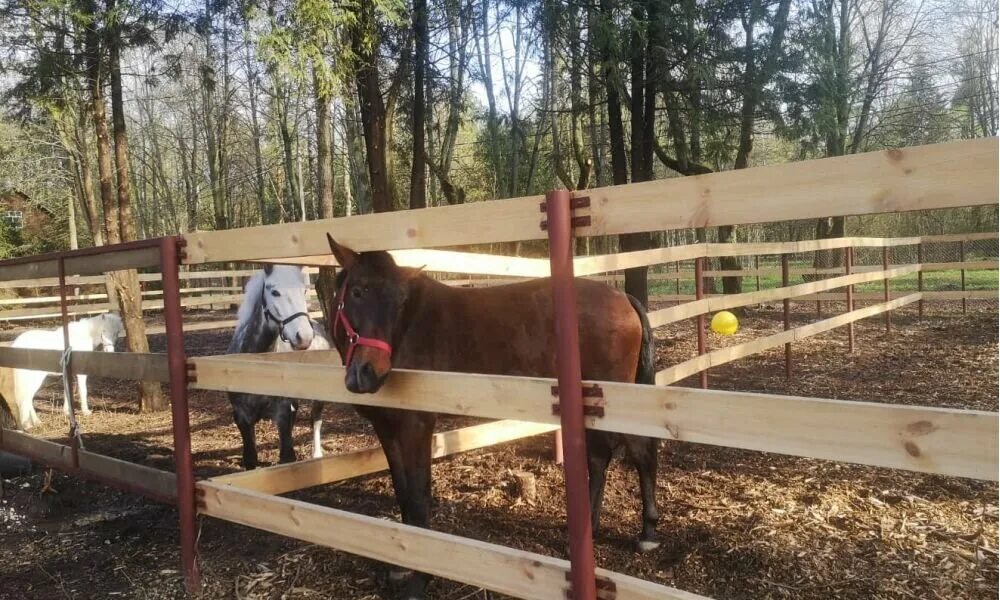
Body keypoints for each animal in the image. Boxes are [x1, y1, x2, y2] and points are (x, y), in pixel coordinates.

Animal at [324, 236, 660, 600]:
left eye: (401, 302)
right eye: (358, 291)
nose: (368, 373)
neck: (408, 330)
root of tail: (624, 298)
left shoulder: (416, 425)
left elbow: (418, 497)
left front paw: (418, 579)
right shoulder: (386, 427)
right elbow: (402, 492)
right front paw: (402, 564)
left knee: (640, 453)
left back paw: (648, 533)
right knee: (599, 457)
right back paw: (593, 526)